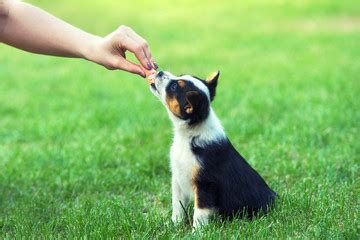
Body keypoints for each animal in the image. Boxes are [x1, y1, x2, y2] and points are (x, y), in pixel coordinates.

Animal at [148, 71, 278, 229]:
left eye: (173, 87)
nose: (160, 72)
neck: (189, 134)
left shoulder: (205, 184)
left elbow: (199, 213)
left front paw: (197, 232)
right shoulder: (177, 179)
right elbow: (177, 206)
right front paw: (173, 225)